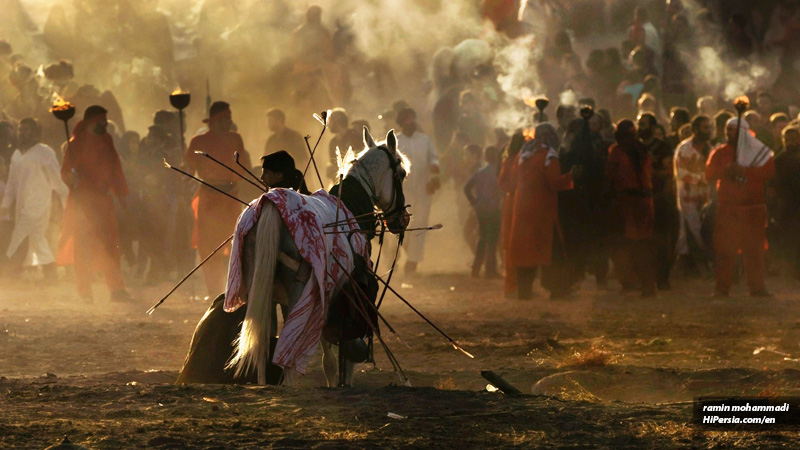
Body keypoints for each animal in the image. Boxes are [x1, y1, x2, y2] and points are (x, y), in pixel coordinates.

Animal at [227, 127, 410, 386]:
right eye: (402, 173)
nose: (402, 219)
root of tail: (270, 206)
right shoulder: (344, 293)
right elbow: (343, 354)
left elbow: (331, 356)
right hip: (300, 291)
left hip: (259, 284)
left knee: (262, 344)